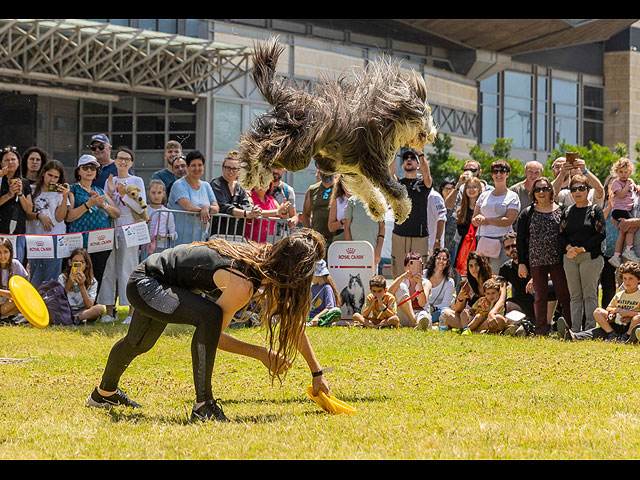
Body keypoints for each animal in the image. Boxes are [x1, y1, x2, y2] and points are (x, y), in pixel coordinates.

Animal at [238, 37, 438, 225]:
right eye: (426, 113)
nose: (431, 135)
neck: (388, 120)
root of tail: (289, 98)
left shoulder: (353, 170)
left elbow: (365, 189)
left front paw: (377, 208)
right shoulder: (374, 163)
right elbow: (395, 189)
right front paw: (402, 211)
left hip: (285, 136)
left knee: (255, 143)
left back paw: (250, 176)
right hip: (298, 149)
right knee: (261, 149)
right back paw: (258, 177)